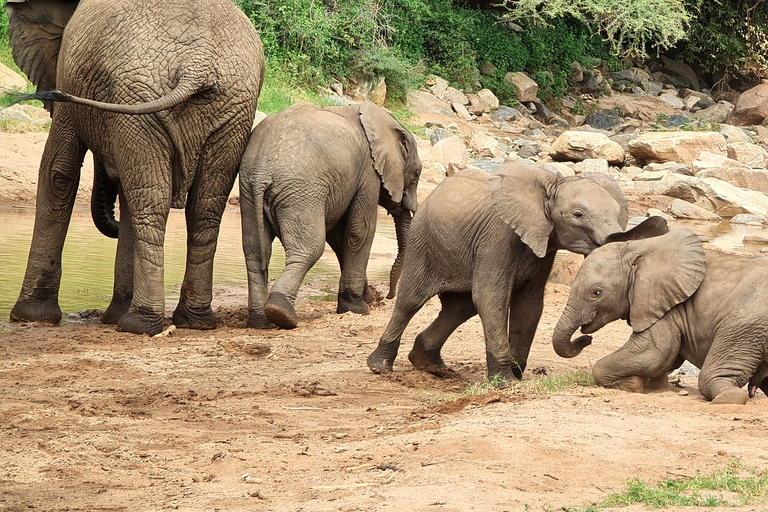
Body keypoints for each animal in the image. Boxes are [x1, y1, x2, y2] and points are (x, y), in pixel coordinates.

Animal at [5, 0, 268, 336]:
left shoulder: (68, 80)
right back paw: (194, 321)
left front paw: (30, 316)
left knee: (150, 203)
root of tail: (197, 65)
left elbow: (58, 172)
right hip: (228, 108)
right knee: (201, 208)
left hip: (142, 102)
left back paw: (139, 323)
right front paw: (113, 313)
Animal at [238, 102, 420, 330]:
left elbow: (339, 237)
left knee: (254, 252)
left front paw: (363, 301)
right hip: (302, 191)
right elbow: (360, 231)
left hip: (248, 189)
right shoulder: (368, 172)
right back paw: (281, 313)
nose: (387, 297)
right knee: (309, 248)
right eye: (417, 175)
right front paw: (359, 308)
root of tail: (261, 171)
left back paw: (260, 321)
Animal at [552, 227, 768, 404]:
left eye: (596, 292)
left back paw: (726, 396)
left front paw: (633, 384)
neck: (640, 248)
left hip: (745, 325)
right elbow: (667, 359)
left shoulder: (666, 305)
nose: (587, 339)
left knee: (710, 377)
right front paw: (656, 385)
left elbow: (655, 353)